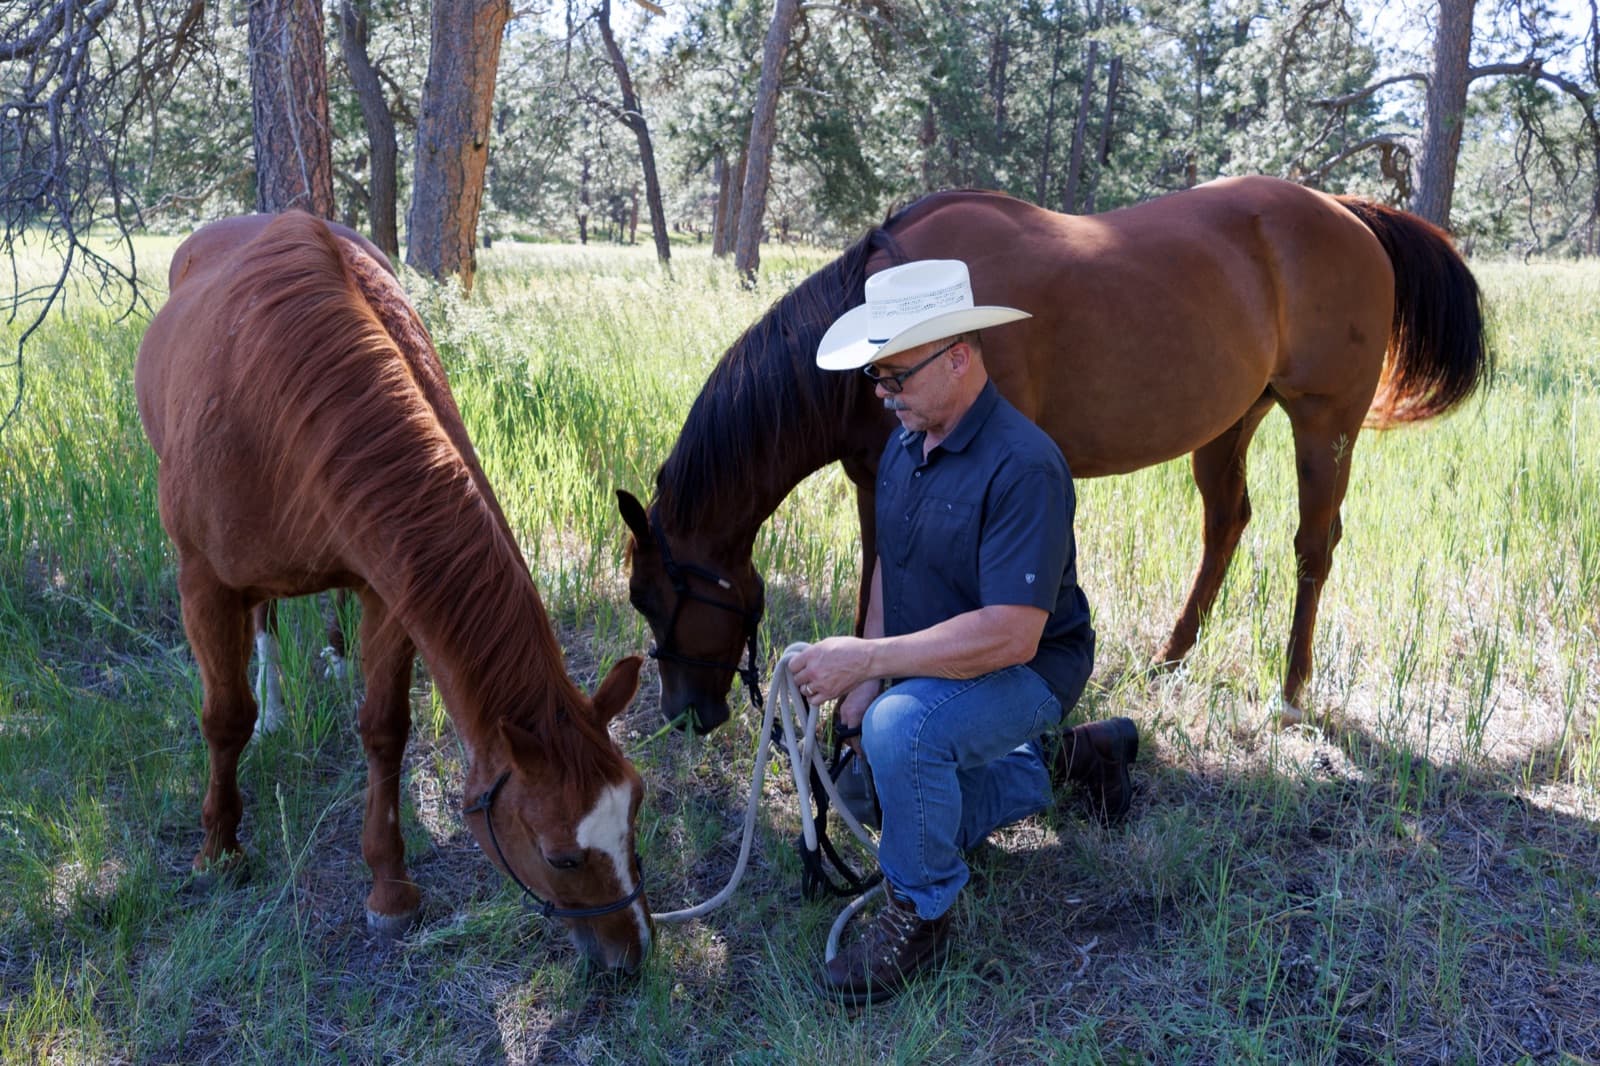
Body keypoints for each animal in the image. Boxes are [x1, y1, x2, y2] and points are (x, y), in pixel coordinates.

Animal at [137, 211, 652, 971]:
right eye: (562, 857)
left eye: (637, 808)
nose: (633, 953)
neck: (283, 399)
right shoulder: (202, 579)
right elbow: (225, 718)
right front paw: (218, 850)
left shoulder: (387, 587)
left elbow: (383, 728)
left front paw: (389, 887)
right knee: (262, 624)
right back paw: (277, 710)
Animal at [618, 175, 1489, 734]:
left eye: (658, 599)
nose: (685, 717)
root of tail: (1346, 210)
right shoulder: (880, 481)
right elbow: (881, 585)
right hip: (1231, 422)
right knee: (1226, 526)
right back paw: (1171, 658)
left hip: (1324, 421)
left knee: (1314, 545)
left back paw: (1292, 690)